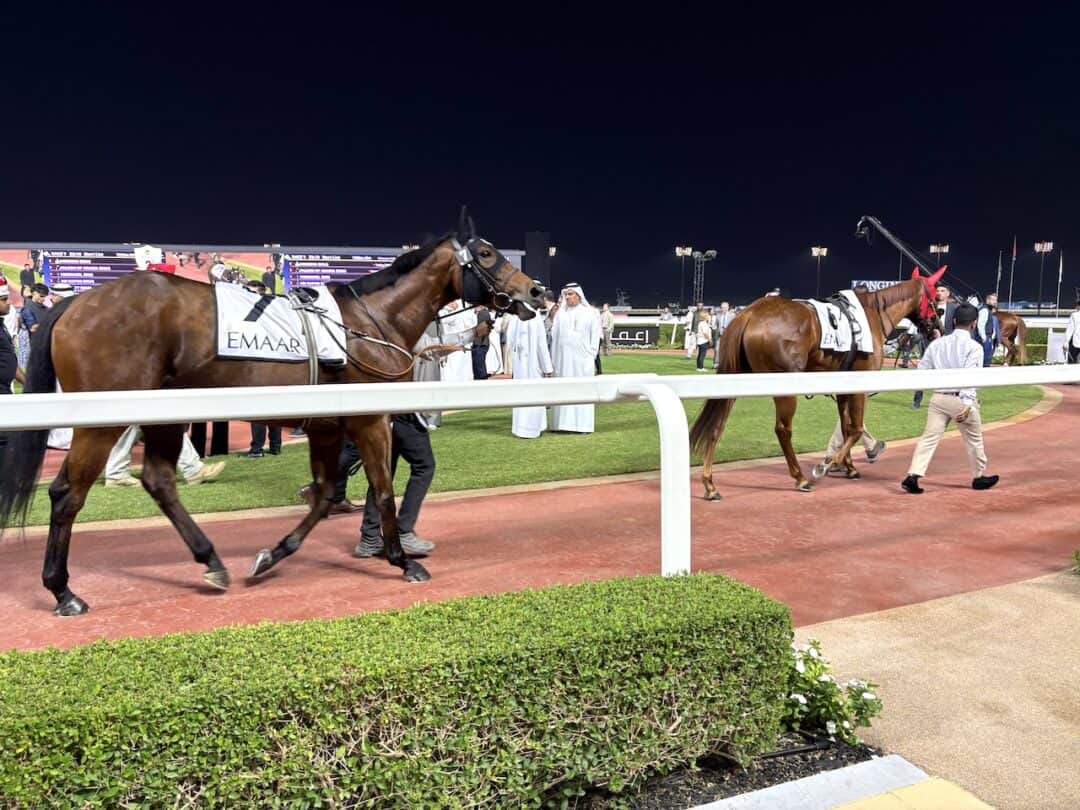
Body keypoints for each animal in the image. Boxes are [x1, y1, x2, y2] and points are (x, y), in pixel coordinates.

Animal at [0, 216, 544, 613]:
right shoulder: (370, 419)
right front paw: (401, 560)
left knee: (159, 480)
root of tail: (76, 304)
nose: (536, 291)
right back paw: (63, 590)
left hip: (165, 413)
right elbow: (383, 490)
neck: (372, 322)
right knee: (67, 493)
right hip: (102, 418)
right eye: (488, 254)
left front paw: (270, 556)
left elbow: (325, 494)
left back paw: (211, 560)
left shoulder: (328, 425)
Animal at [686, 270, 941, 501]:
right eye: (937, 298)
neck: (873, 314)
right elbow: (856, 428)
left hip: (734, 379)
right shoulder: (859, 383)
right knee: (783, 429)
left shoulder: (843, 385)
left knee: (717, 425)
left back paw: (710, 485)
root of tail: (748, 314)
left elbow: (846, 426)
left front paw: (849, 467)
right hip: (785, 386)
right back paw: (800, 478)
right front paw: (829, 464)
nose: (937, 327)